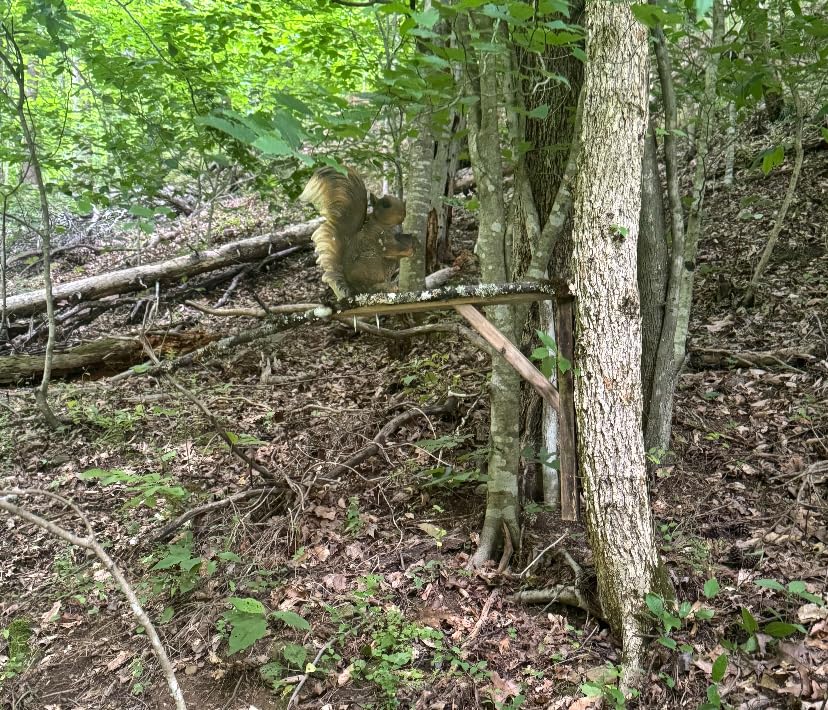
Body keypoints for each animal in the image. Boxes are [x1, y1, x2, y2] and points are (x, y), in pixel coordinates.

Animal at [299, 165, 413, 298]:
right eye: (385, 204)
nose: (403, 213)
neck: (385, 224)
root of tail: (352, 290)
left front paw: (411, 244)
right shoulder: (379, 239)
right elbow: (390, 248)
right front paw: (409, 250)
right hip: (370, 265)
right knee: (370, 288)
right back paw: (382, 286)